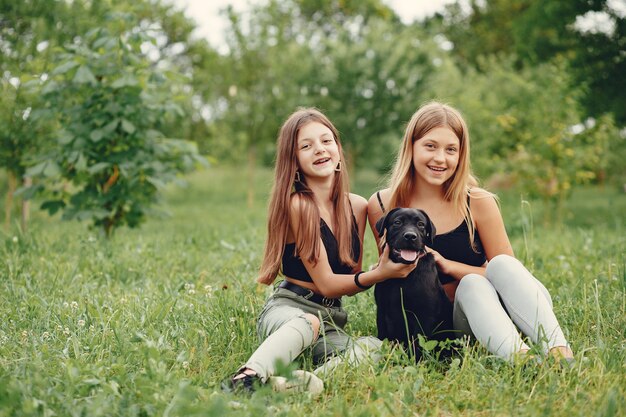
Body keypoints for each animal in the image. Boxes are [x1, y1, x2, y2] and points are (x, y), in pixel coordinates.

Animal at [370, 208, 454, 360]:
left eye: (420, 224)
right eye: (397, 222)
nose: (410, 236)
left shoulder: (424, 315)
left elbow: (418, 344)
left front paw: (414, 361)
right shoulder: (382, 310)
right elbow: (383, 336)